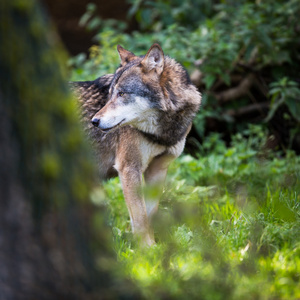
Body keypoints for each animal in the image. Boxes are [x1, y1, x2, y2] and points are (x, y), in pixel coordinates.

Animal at [70, 44, 202, 246]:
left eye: (122, 94)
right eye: (110, 95)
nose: (94, 121)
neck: (161, 133)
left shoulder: (158, 168)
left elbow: (149, 215)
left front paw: (150, 248)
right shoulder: (129, 168)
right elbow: (140, 218)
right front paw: (147, 249)